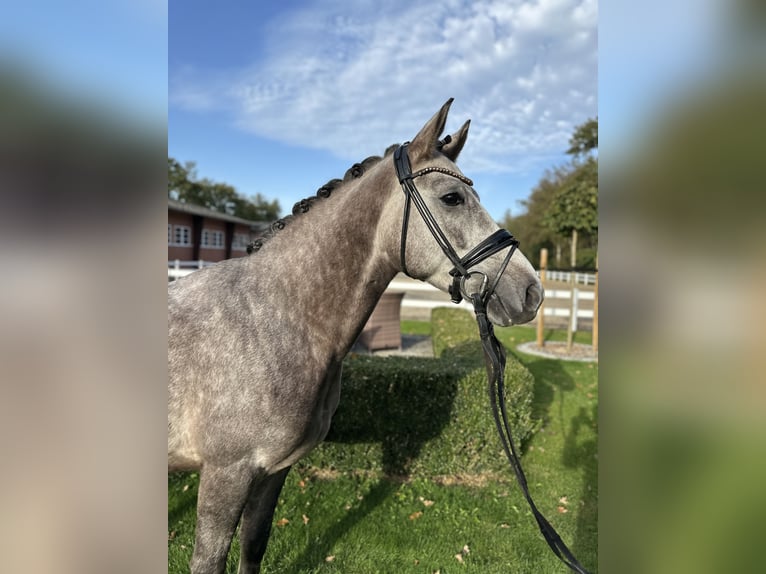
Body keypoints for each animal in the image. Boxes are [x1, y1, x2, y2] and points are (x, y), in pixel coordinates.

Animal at [168, 101, 544, 572]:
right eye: (452, 198)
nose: (531, 292)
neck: (271, 318)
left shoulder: (272, 472)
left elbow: (253, 547)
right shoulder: (226, 474)